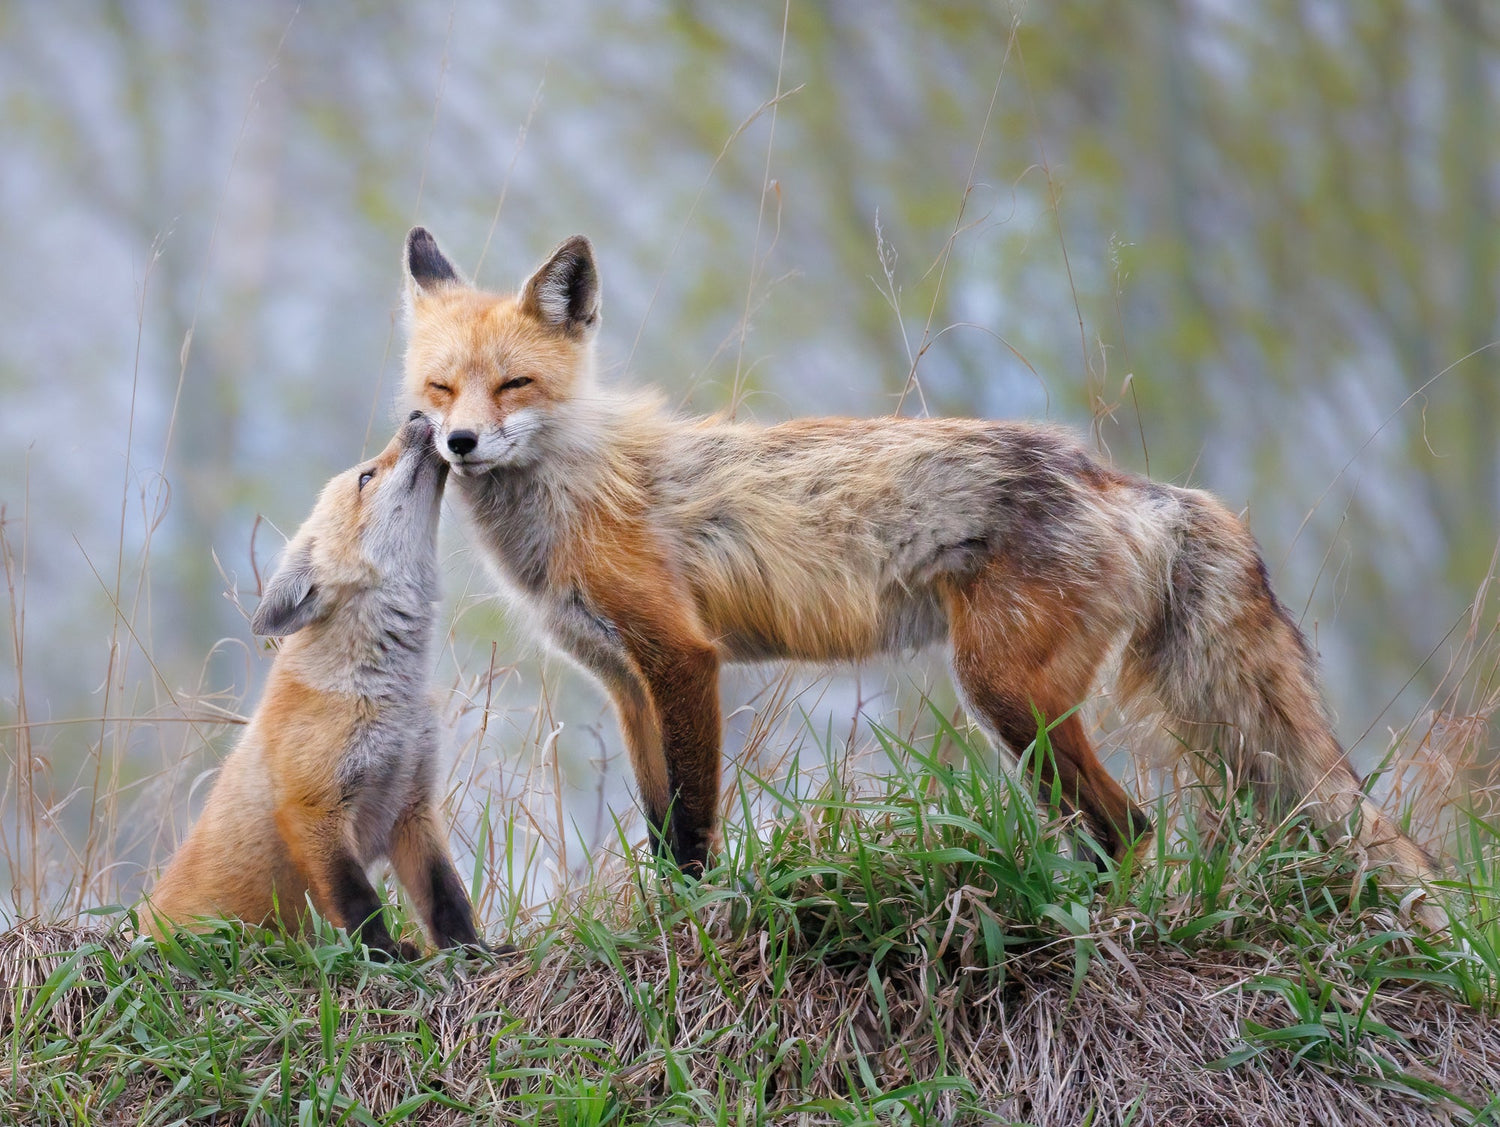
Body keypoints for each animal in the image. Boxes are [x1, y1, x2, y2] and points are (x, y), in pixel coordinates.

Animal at [143, 417, 477, 960]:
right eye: (366, 477)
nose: (415, 417)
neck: (388, 696)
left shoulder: (413, 805)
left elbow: (447, 897)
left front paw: (478, 951)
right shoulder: (313, 808)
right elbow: (358, 899)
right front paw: (382, 954)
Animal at [405, 226, 1434, 900]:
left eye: (515, 384)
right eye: (439, 386)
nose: (459, 443)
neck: (569, 490)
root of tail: (1116, 478)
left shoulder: (683, 659)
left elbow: (693, 829)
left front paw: (692, 920)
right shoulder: (626, 681)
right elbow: (663, 825)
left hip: (1005, 691)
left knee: (1130, 828)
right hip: (1023, 705)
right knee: (1121, 830)